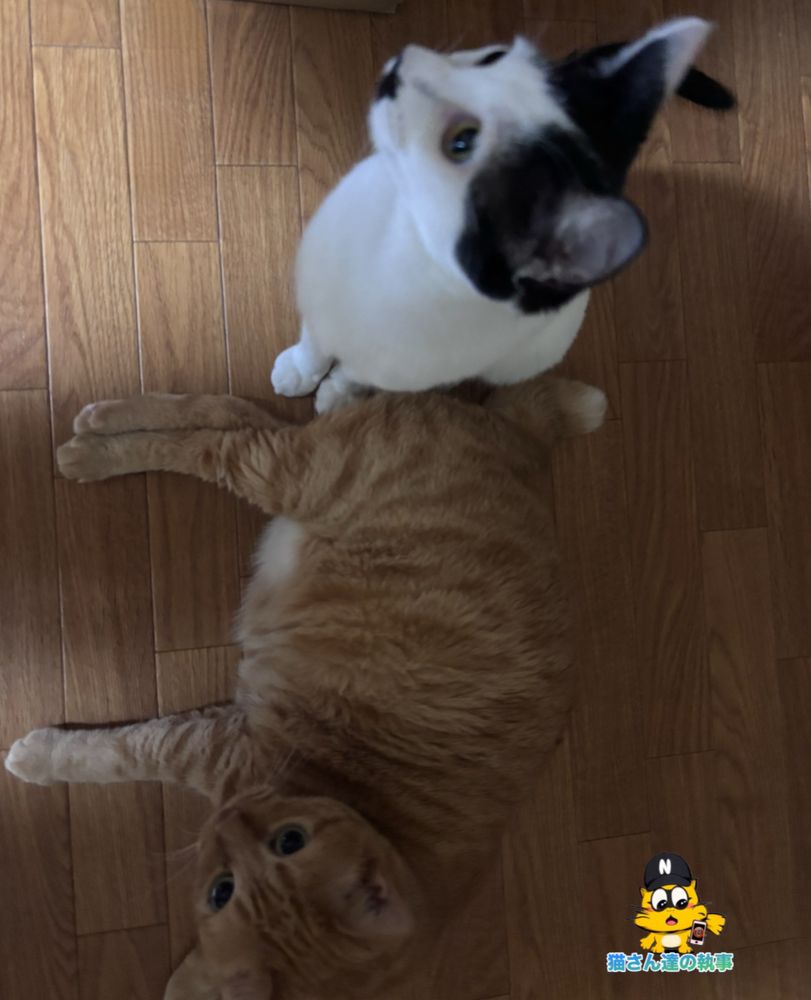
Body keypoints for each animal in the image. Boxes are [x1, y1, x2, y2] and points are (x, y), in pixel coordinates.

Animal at [7, 375, 606, 999]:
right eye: (287, 841)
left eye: (223, 889)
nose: (231, 823)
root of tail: (521, 443)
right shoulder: (223, 749)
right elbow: (122, 750)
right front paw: (40, 755)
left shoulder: (222, 746)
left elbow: (131, 747)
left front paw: (40, 756)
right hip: (296, 471)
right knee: (210, 441)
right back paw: (93, 450)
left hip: (295, 470)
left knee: (231, 416)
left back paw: (97, 427)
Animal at [271, 17, 733, 414]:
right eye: (492, 57)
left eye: (461, 142)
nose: (398, 67)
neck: (401, 241)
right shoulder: (317, 296)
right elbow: (313, 341)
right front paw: (298, 371)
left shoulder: (399, 367)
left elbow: (355, 373)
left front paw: (338, 395)